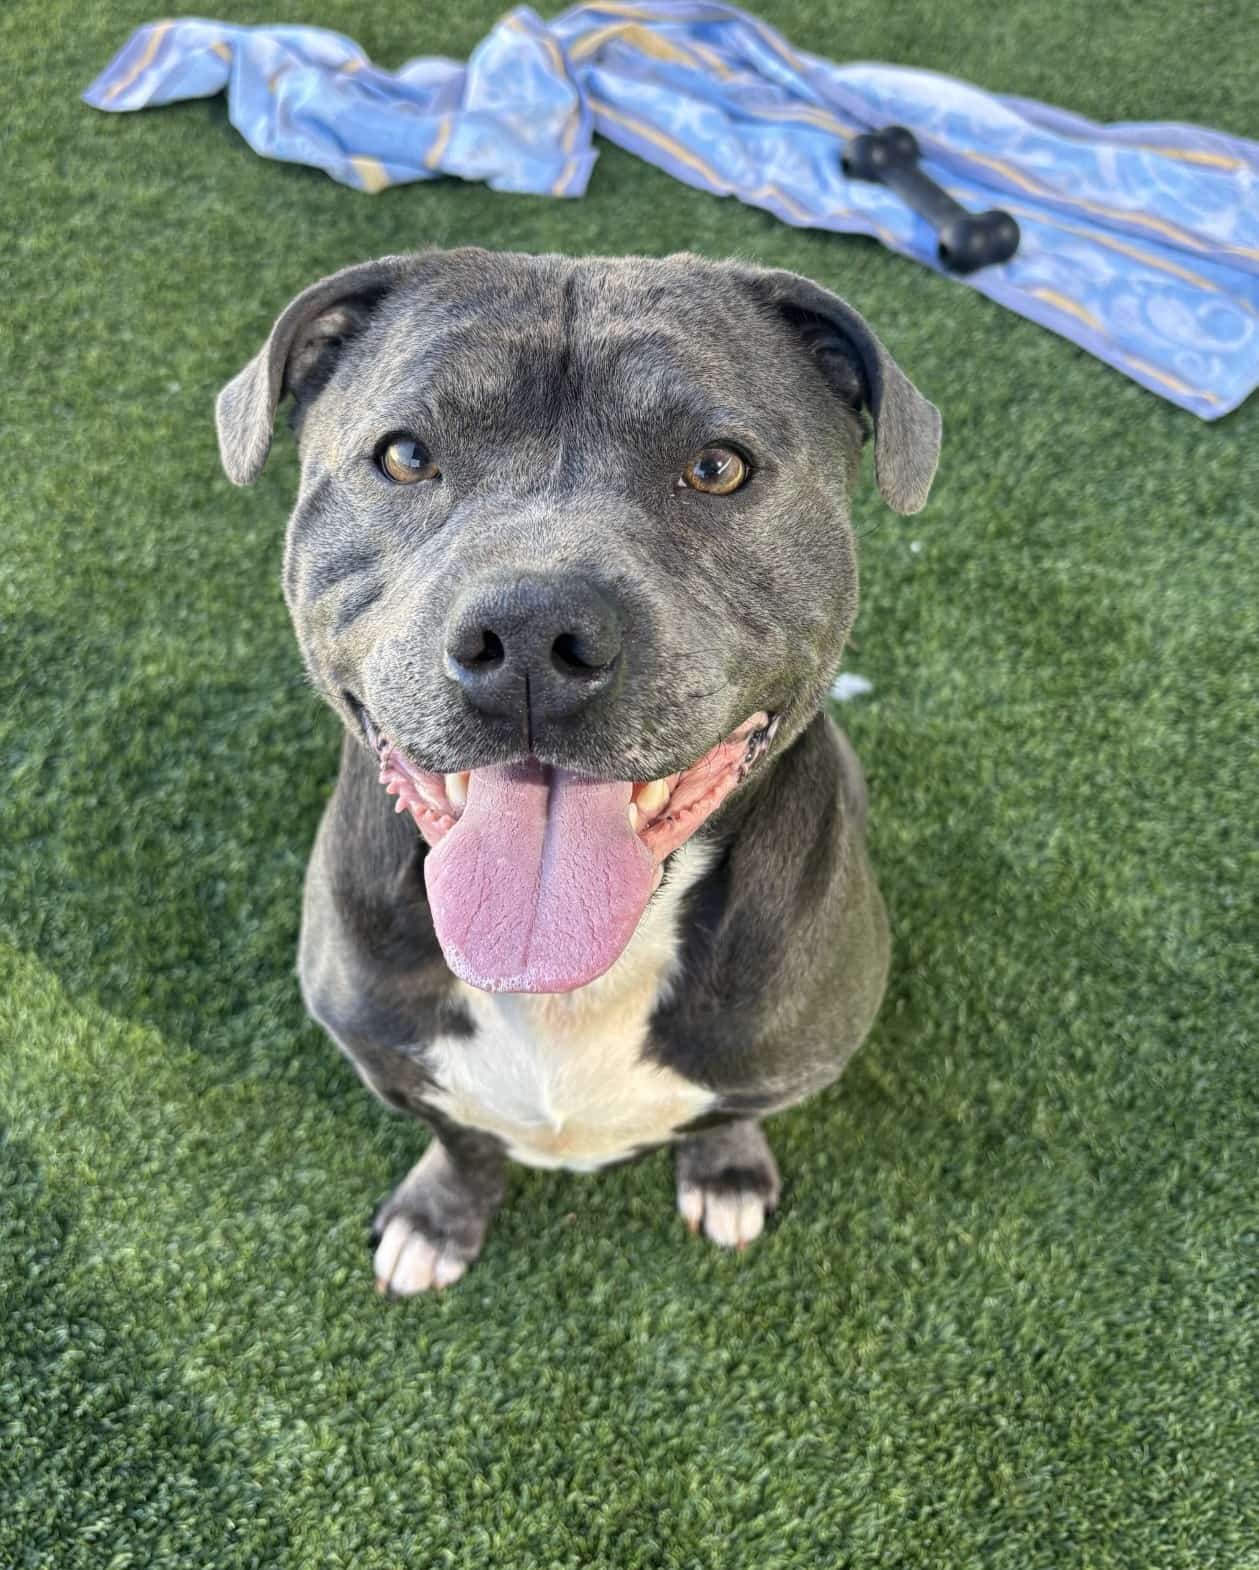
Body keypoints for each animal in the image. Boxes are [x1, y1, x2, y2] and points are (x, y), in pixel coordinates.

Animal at [216, 249, 940, 1293]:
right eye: (405, 455)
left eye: (716, 466)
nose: (528, 633)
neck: (567, 980)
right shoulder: (387, 1054)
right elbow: (463, 1138)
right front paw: (439, 1217)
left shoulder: (783, 1060)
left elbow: (731, 1115)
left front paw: (725, 1172)